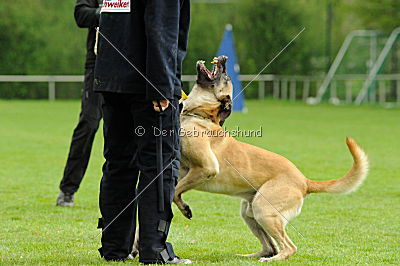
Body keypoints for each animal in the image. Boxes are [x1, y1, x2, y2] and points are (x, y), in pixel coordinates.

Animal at [173, 55, 370, 260]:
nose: (225, 59)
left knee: (288, 247)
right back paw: (248, 257)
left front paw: (184, 208)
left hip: (264, 210)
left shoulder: (206, 168)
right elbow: (176, 188)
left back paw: (271, 260)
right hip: (250, 212)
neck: (199, 115)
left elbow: (175, 192)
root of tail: (304, 181)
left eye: (226, 78)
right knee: (270, 246)